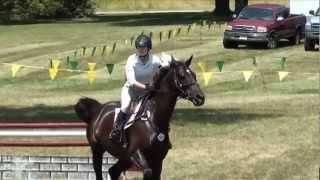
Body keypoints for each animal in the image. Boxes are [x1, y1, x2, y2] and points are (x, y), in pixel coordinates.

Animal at [75, 55, 205, 179]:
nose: (200, 98)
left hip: (124, 157)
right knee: (99, 171)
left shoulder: (158, 159)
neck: (154, 118)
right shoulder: (135, 153)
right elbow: (147, 172)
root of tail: (98, 109)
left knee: (113, 171)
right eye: (181, 76)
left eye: (194, 74)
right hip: (97, 149)